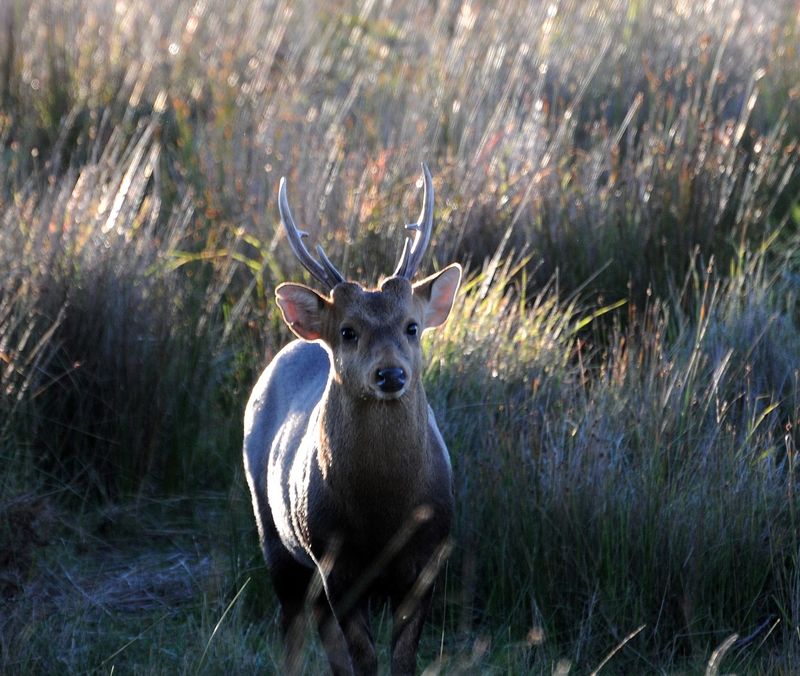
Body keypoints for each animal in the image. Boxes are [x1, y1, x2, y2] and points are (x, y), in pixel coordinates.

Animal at [243, 164, 461, 675]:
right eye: (348, 331)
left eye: (412, 327)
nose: (390, 374)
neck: (382, 514)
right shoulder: (334, 560)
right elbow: (363, 658)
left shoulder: (428, 560)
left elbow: (402, 659)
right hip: (273, 532)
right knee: (292, 627)